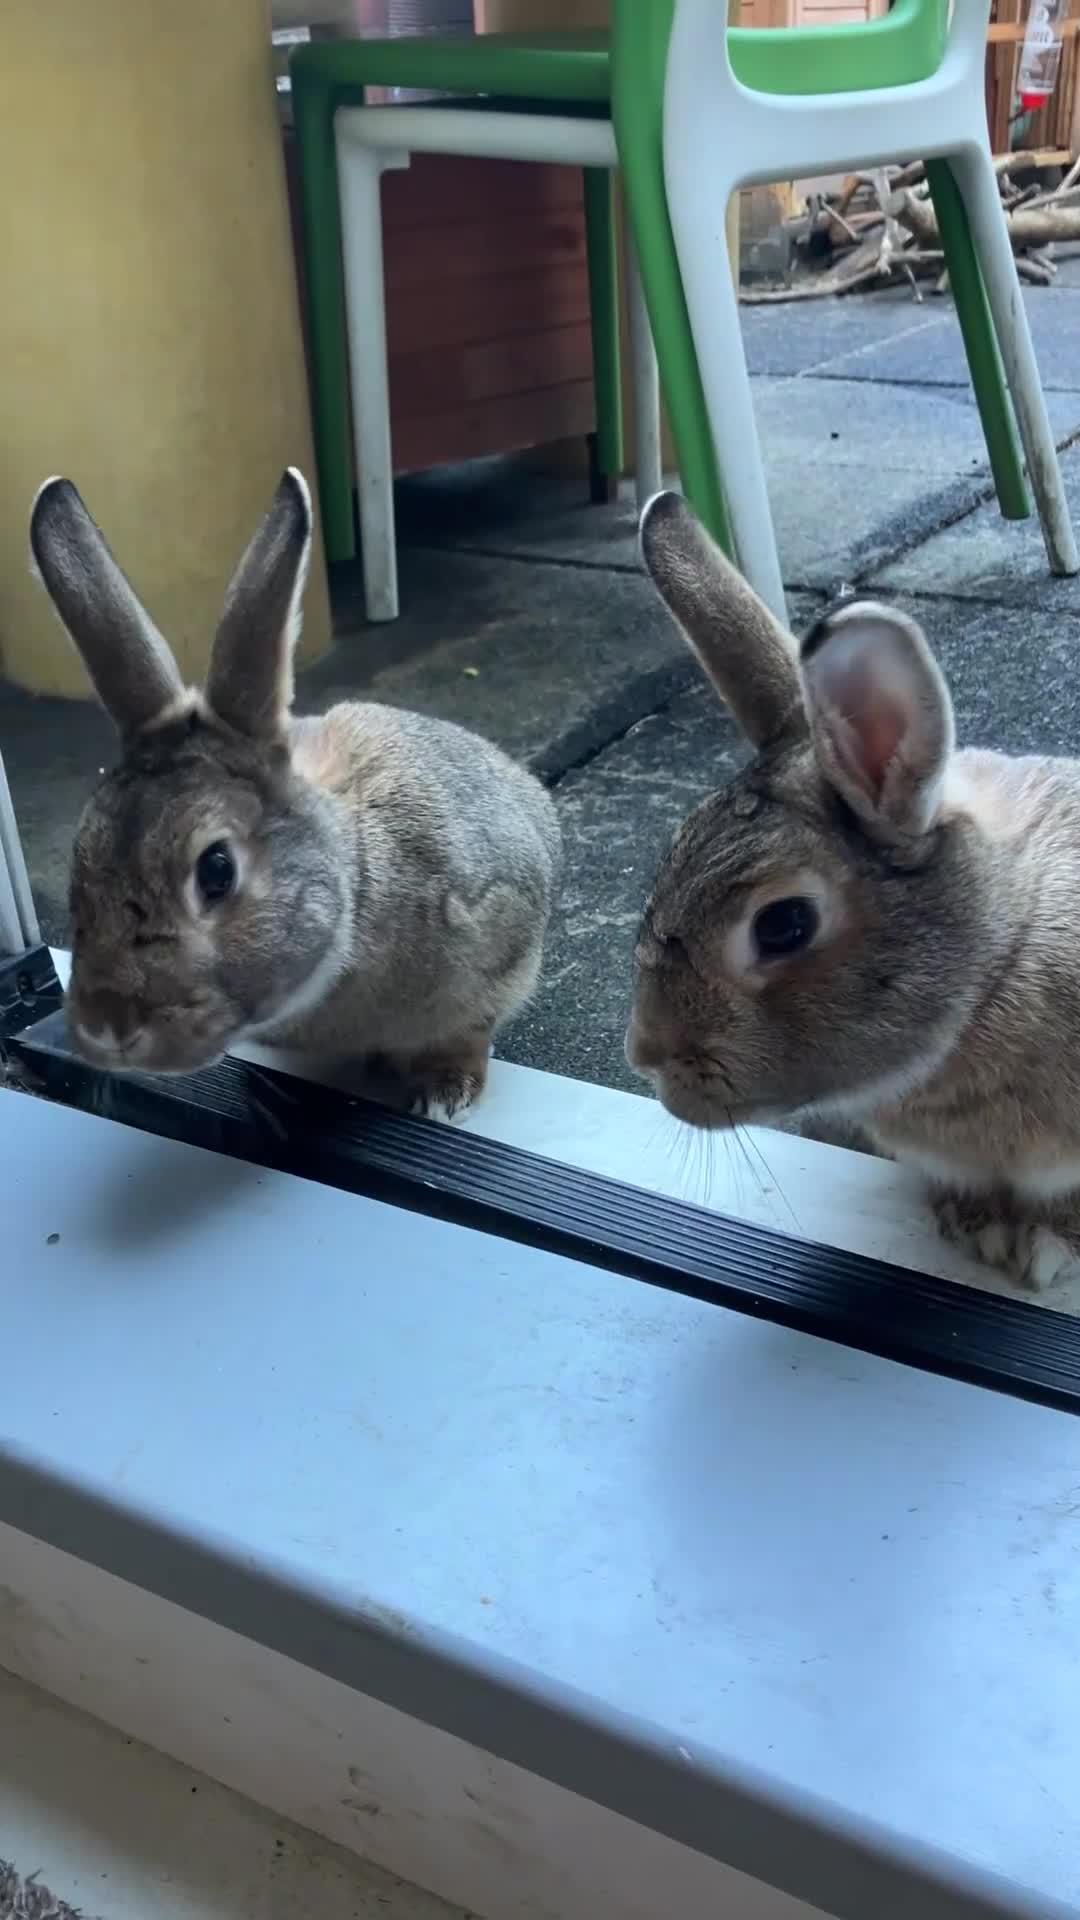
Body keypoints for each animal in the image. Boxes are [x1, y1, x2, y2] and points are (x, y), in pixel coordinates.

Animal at [29, 466, 560, 1119]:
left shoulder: (496, 953)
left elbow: (467, 1035)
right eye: (81, 862)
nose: (108, 1028)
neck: (356, 886)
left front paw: (442, 1094)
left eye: (217, 870)